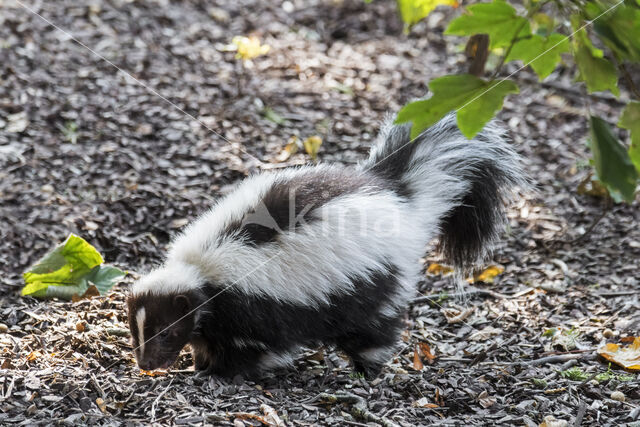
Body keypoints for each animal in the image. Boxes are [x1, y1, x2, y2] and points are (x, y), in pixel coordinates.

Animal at [126, 113, 524, 378]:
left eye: (166, 331)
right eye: (136, 330)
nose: (146, 364)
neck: (199, 271)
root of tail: (397, 198)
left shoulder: (254, 305)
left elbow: (259, 344)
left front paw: (227, 370)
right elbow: (208, 334)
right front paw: (202, 363)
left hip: (374, 279)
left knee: (375, 327)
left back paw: (367, 368)